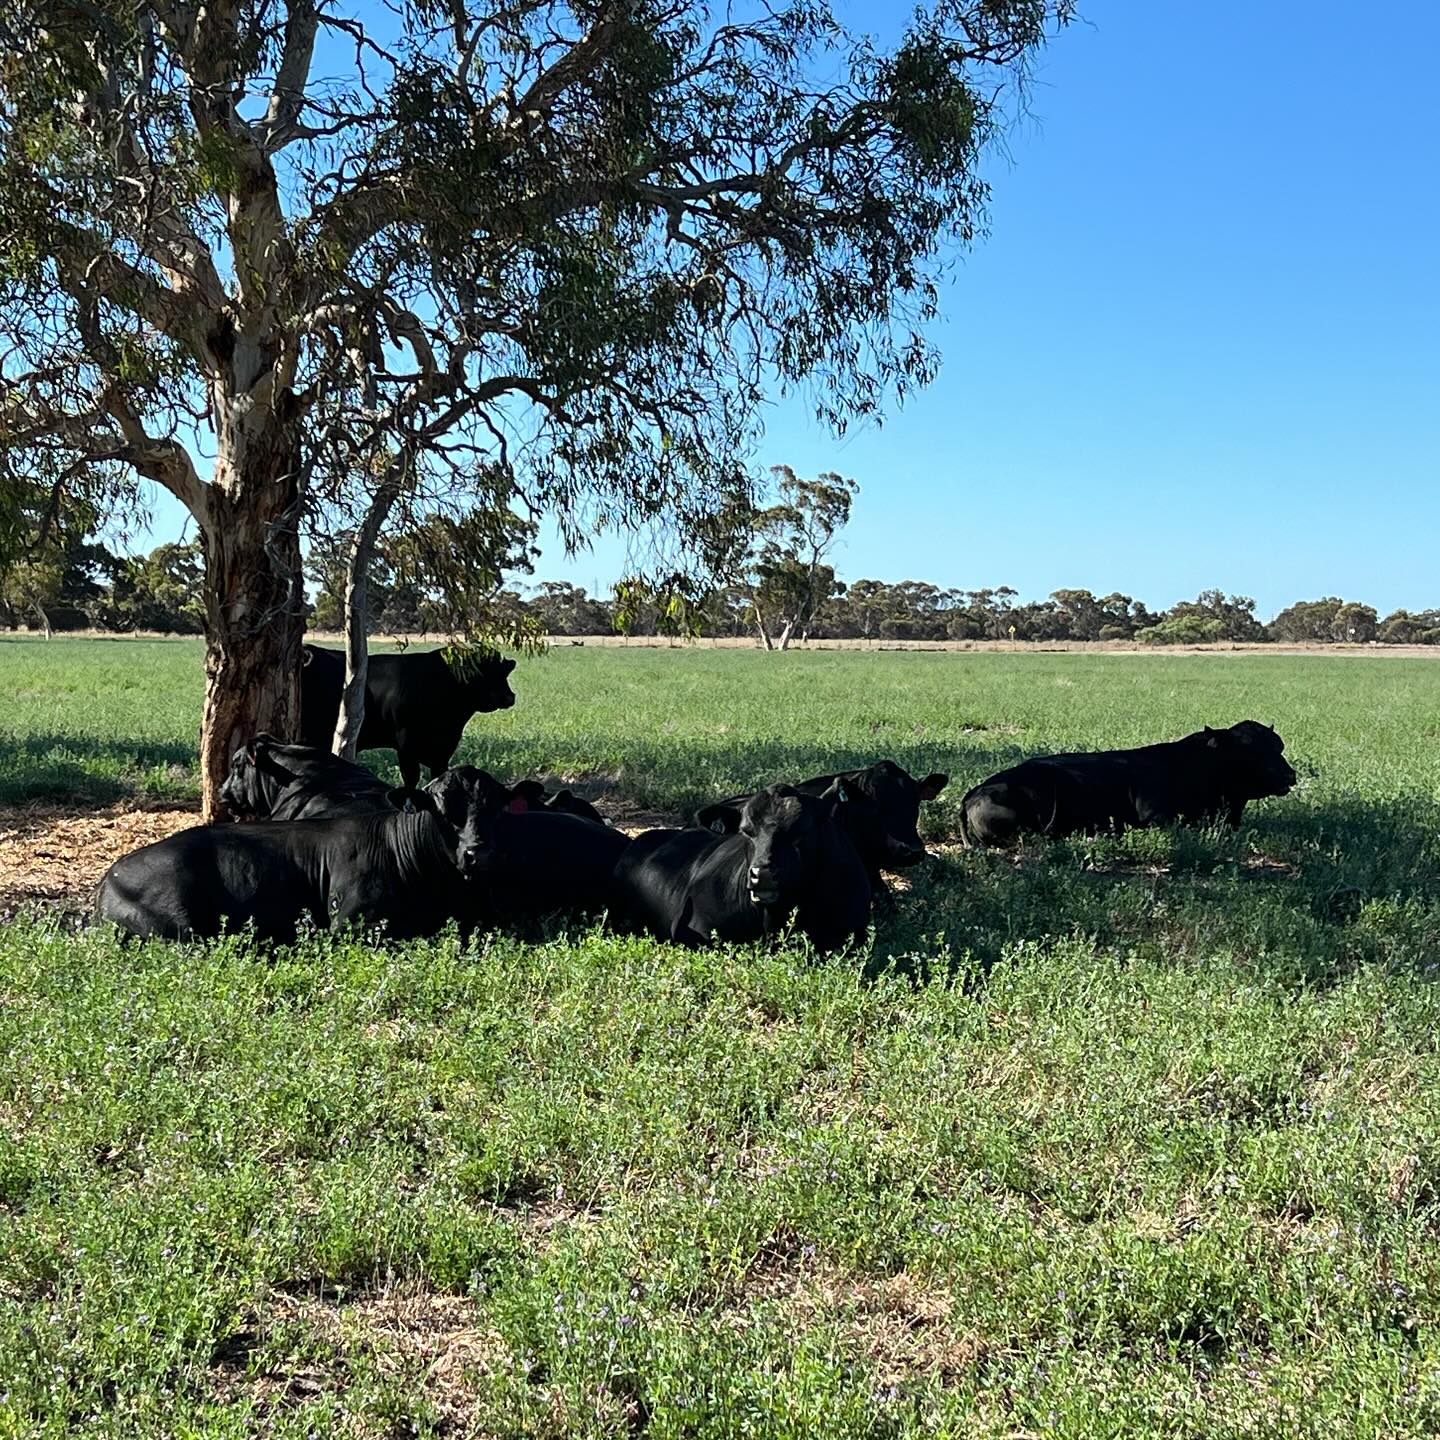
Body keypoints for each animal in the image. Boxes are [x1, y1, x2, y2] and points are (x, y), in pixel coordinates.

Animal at [93, 789, 487, 943]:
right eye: (443, 808)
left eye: (491, 805)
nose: (475, 852)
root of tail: (108, 877)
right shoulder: (351, 923)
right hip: (181, 931)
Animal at [299, 644, 517, 790]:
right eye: (485, 672)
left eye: (503, 672)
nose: (510, 696)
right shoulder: (405, 744)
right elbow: (411, 777)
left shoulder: (443, 749)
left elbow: (438, 775)